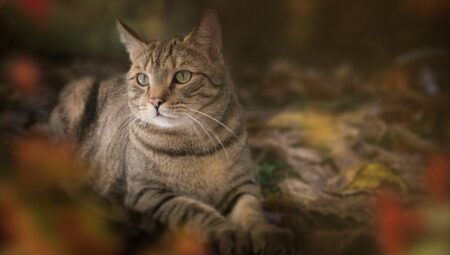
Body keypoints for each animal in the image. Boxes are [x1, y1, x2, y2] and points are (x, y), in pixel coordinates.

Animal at [49, 8, 294, 254]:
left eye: (182, 76)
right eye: (143, 79)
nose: (155, 100)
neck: (196, 142)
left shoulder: (241, 186)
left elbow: (252, 212)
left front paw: (269, 235)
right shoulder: (147, 193)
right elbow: (193, 209)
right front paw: (227, 231)